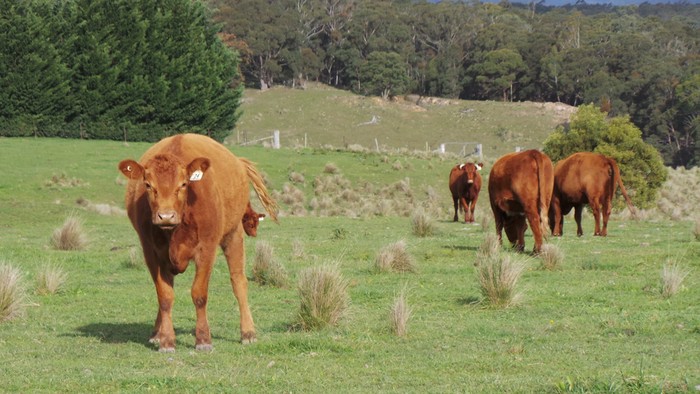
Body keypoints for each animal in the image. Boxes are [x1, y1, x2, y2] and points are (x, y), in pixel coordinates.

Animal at [119, 133, 278, 350]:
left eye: (183, 184)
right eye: (148, 185)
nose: (166, 216)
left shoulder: (207, 249)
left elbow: (199, 294)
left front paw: (203, 339)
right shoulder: (151, 252)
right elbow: (165, 296)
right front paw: (166, 340)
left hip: (233, 235)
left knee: (238, 282)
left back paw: (248, 332)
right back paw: (157, 333)